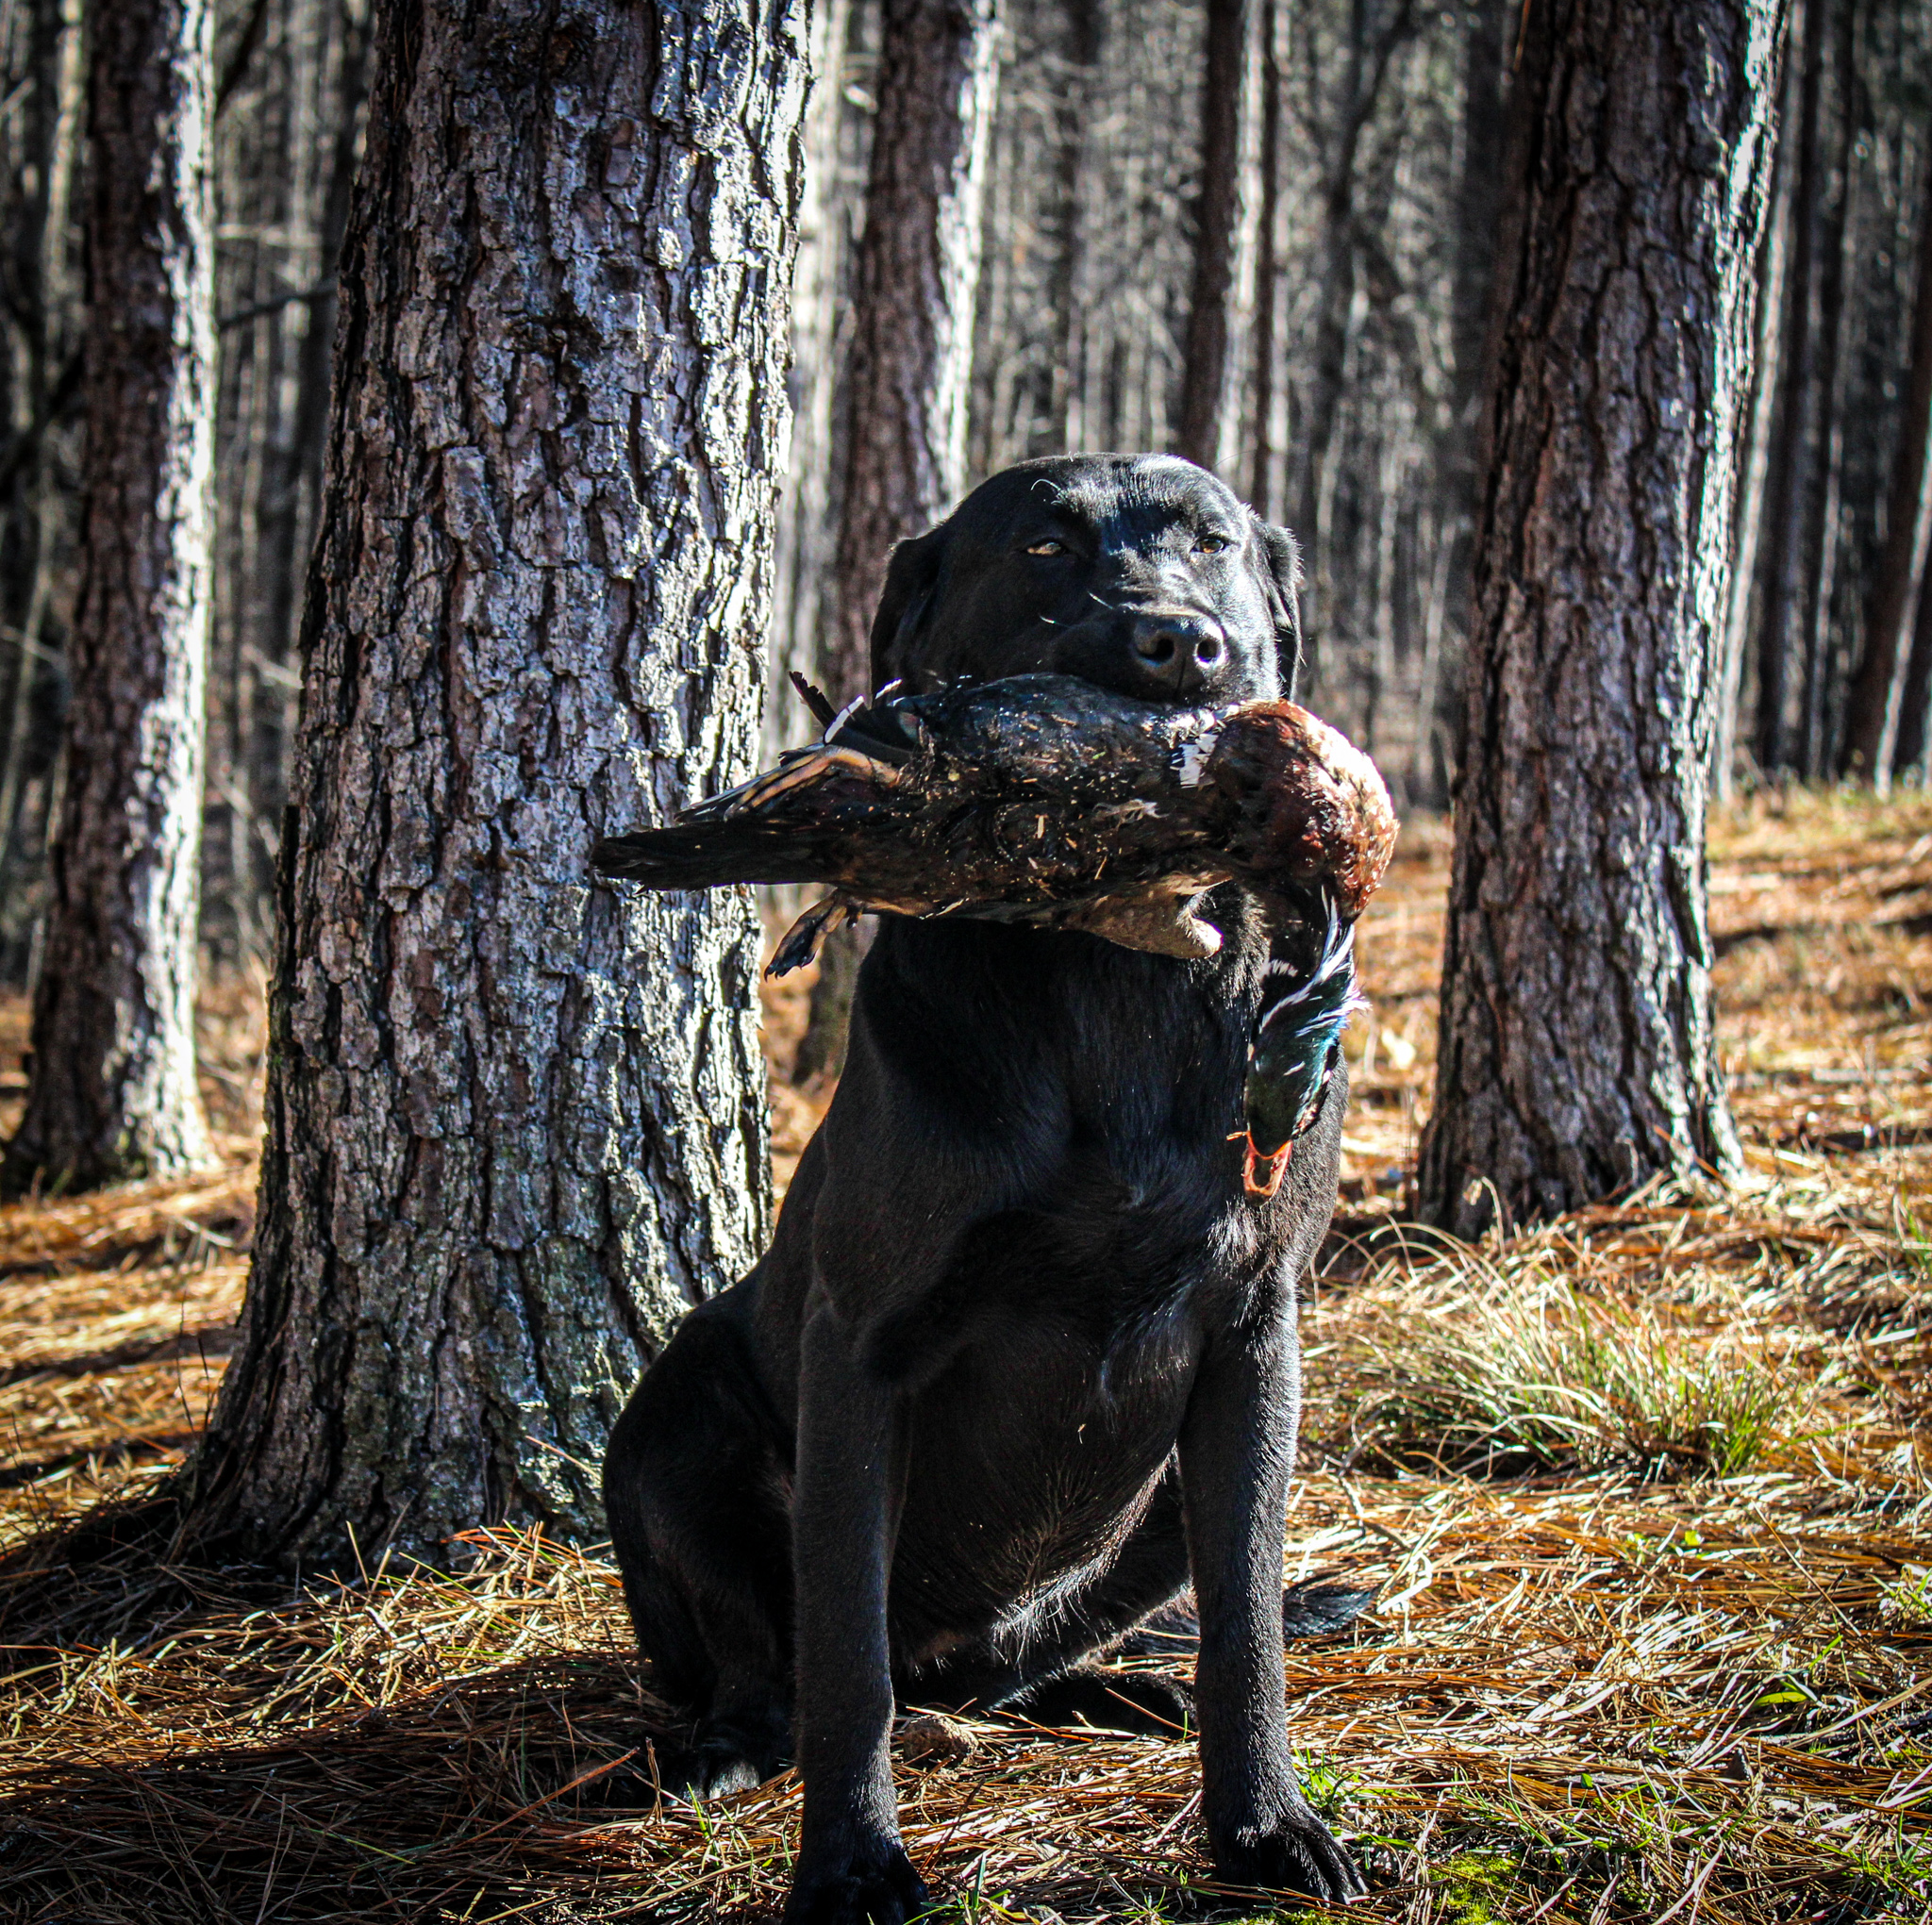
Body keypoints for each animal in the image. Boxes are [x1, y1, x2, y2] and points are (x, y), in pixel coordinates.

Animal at [610, 454, 1367, 1922]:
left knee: (1047, 1663)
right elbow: (845, 1655)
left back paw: (1123, 1692)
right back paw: (732, 1748)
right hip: (670, 1417)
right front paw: (851, 1863)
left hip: (1153, 1509)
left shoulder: (1259, 1333)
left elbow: (1246, 1620)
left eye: (1215, 544)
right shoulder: (862, 1344)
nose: (1181, 642)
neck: (1114, 974)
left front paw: (1262, 1824)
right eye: (1041, 546)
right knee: (776, 1662)